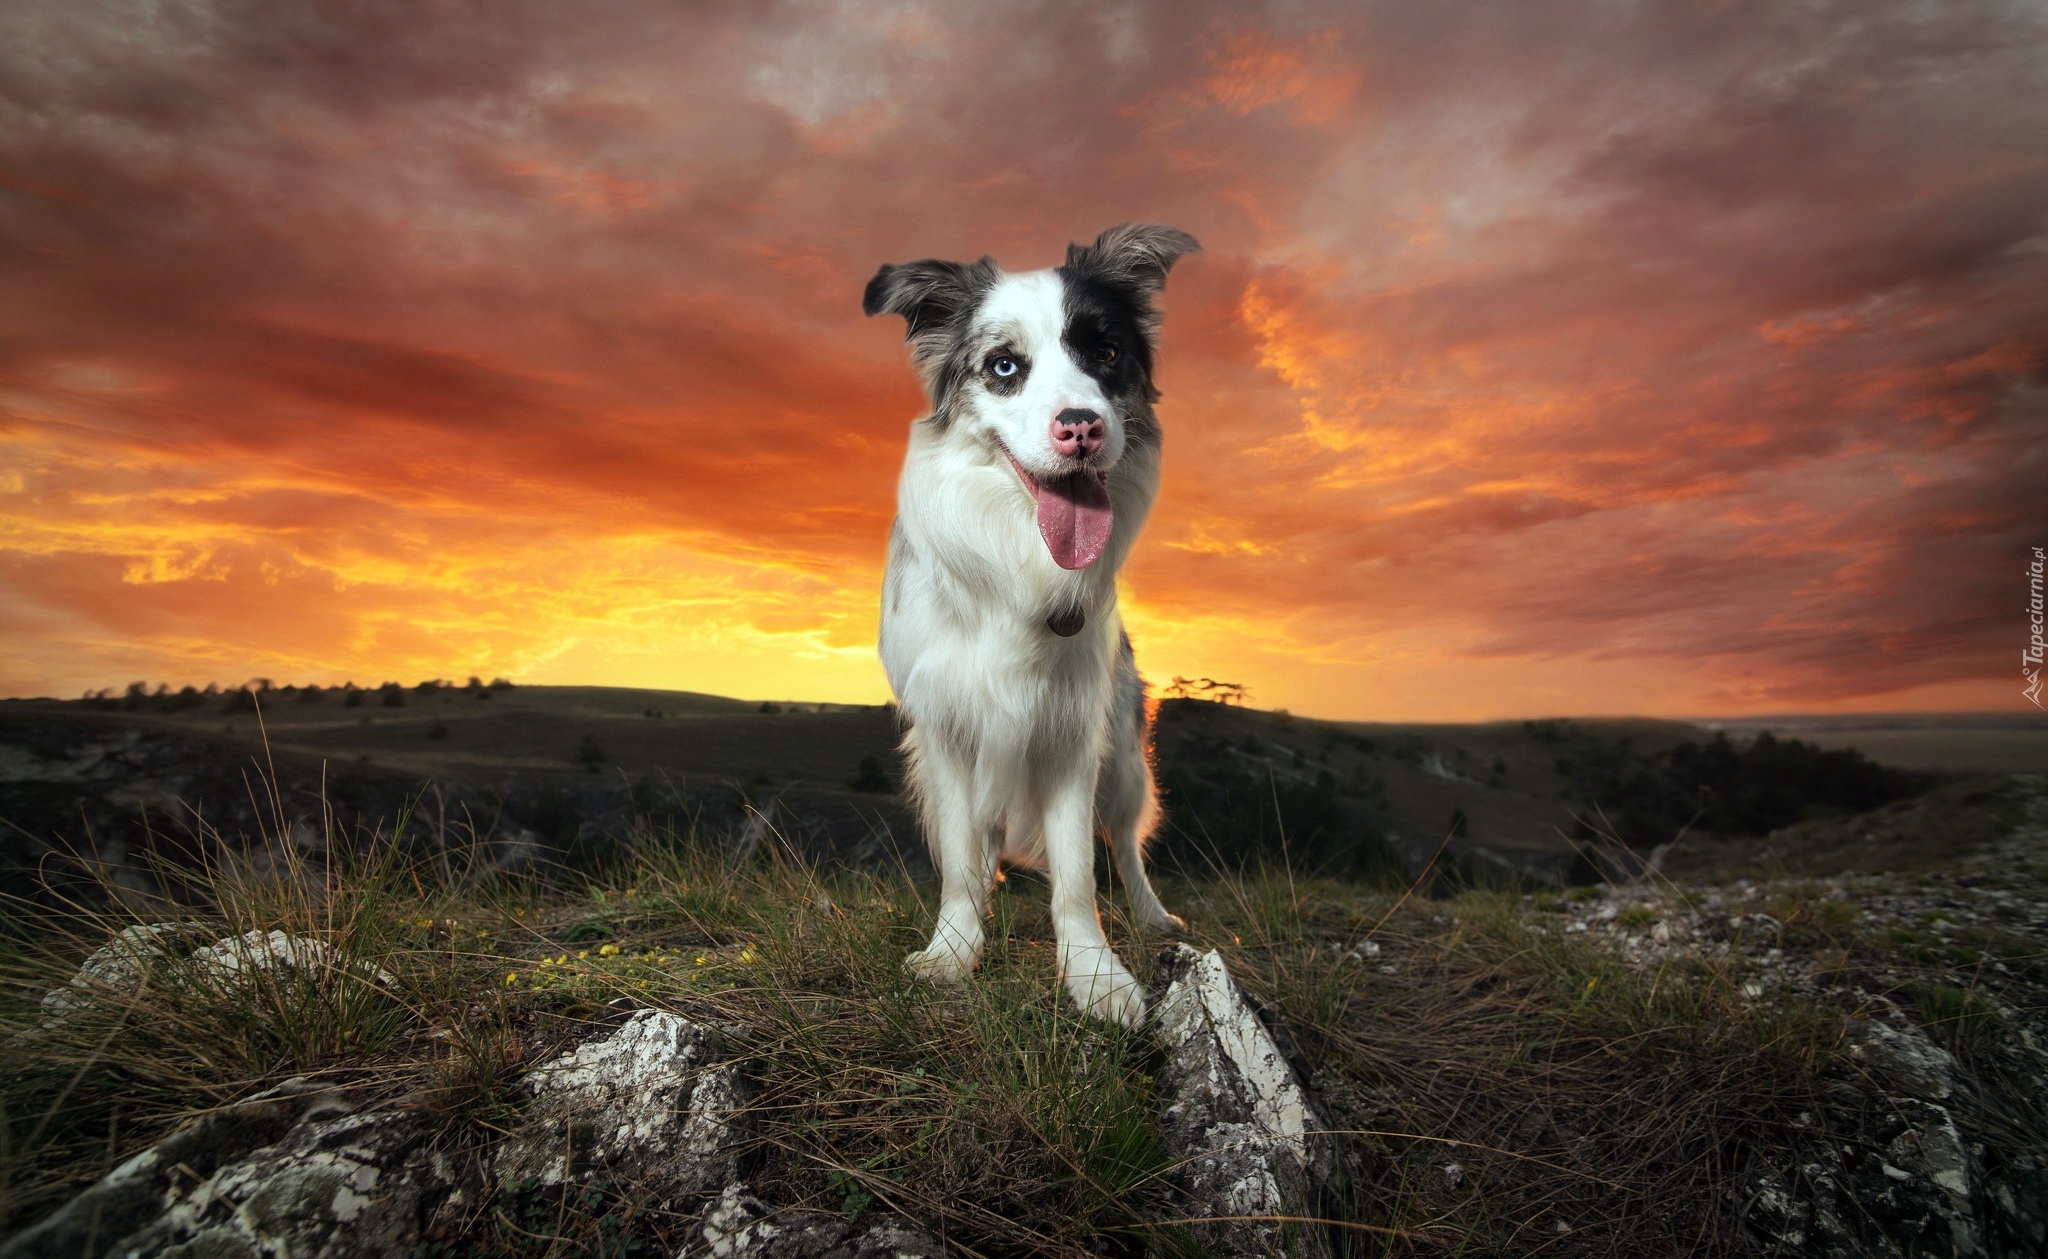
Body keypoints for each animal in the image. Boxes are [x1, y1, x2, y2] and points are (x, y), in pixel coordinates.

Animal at [864, 226, 1196, 1027]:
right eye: (1004, 366)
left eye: (1105, 350)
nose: (1081, 427)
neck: (1019, 558)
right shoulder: (949, 729)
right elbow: (959, 861)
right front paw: (953, 951)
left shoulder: (1071, 731)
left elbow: (1078, 873)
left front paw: (1096, 976)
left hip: (1125, 757)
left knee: (1126, 842)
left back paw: (1152, 916)